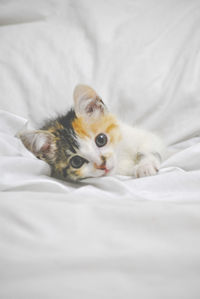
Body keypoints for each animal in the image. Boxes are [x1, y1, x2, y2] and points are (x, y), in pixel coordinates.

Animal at [19, 85, 165, 183]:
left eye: (101, 139)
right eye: (76, 162)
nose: (103, 165)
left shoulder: (139, 135)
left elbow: (151, 146)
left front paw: (145, 166)